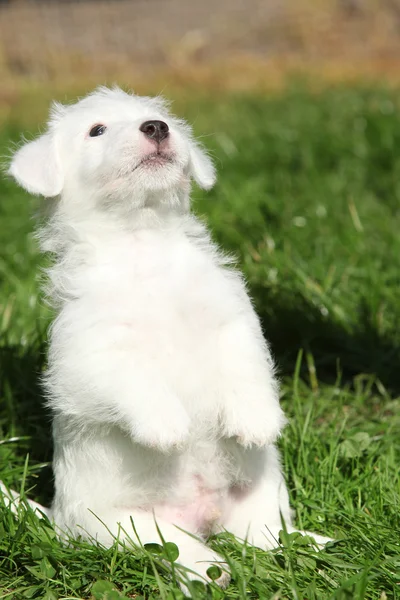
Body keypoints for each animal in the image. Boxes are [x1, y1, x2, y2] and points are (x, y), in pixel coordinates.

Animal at [5, 88, 328, 592]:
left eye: (154, 118)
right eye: (96, 130)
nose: (156, 127)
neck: (144, 248)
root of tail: (205, 519)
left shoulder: (233, 318)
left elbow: (247, 364)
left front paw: (256, 418)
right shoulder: (87, 355)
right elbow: (135, 382)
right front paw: (168, 426)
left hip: (263, 489)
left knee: (269, 538)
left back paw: (310, 545)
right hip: (125, 527)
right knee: (179, 552)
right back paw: (209, 568)